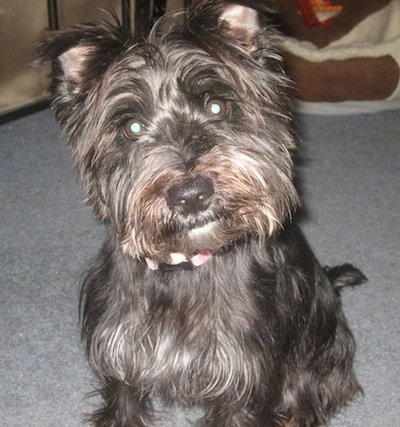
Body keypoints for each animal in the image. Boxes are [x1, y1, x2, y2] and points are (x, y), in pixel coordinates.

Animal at [34, 1, 366, 426]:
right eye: (132, 127)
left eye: (216, 106)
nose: (191, 195)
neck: (180, 271)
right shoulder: (121, 368)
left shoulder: (244, 385)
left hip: (314, 368)